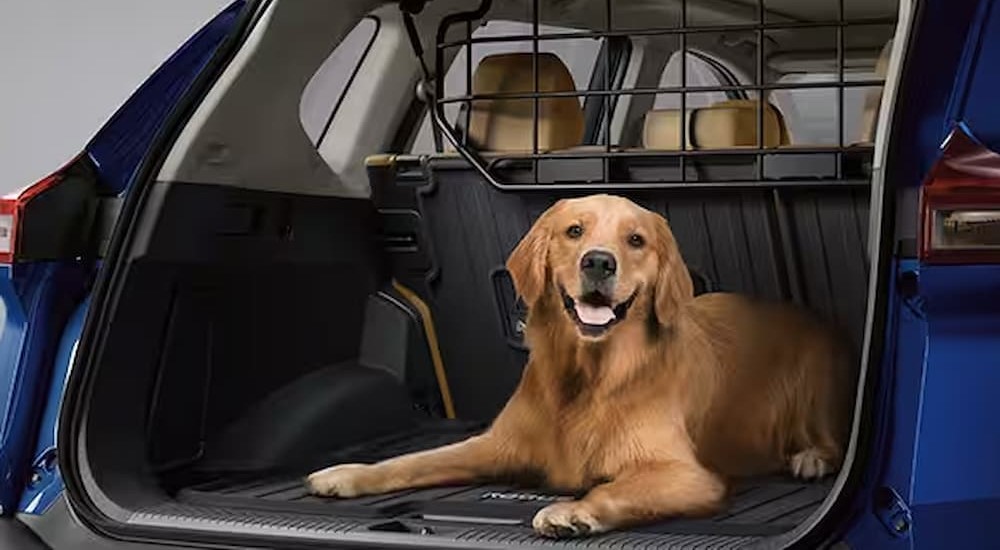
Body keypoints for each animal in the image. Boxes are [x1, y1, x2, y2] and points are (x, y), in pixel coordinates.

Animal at [304, 193, 852, 540]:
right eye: (574, 231)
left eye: (636, 240)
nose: (599, 262)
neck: (588, 377)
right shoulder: (494, 444)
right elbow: (414, 461)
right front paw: (350, 473)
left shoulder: (688, 474)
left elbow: (613, 487)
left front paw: (572, 512)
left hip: (818, 378)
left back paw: (811, 457)